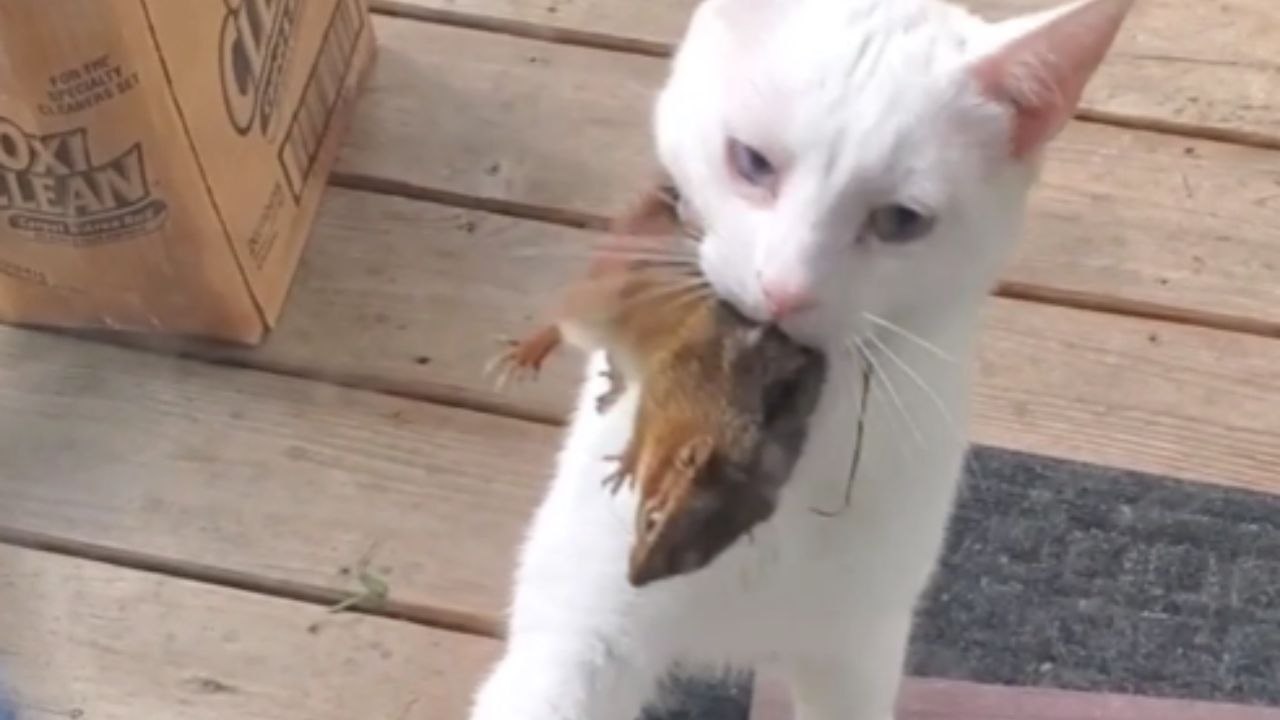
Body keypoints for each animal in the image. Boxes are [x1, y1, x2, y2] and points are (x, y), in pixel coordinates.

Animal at [489, 182, 828, 587]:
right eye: (651, 518)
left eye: (690, 565)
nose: (634, 579)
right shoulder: (665, 389)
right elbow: (640, 431)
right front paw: (628, 463)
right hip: (597, 304)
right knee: (563, 322)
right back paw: (532, 351)